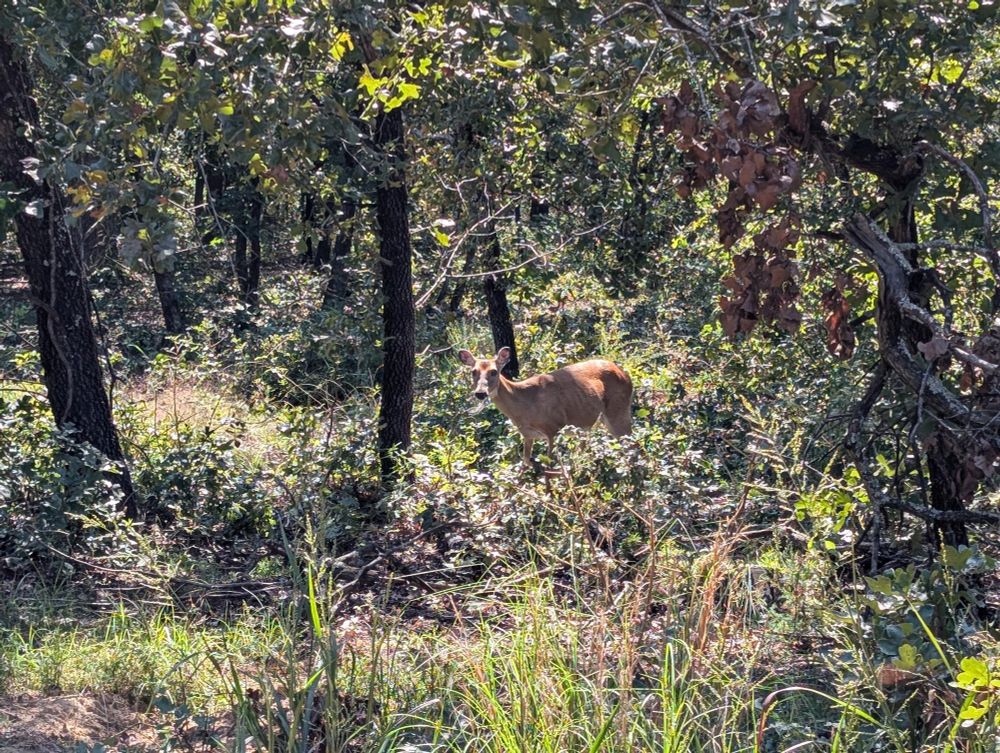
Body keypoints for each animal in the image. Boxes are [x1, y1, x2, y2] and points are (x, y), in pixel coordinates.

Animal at [457, 346, 633, 467]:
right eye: (473, 371)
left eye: (494, 371)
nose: (480, 393)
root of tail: (625, 374)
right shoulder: (527, 434)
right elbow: (526, 460)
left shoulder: (553, 427)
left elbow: (549, 464)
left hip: (618, 410)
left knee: (630, 442)